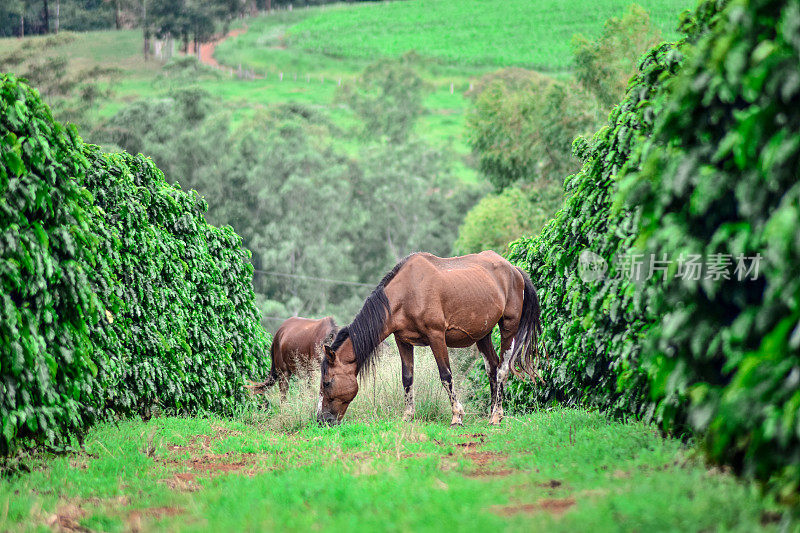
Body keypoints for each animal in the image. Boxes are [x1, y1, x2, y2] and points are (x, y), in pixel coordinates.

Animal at [316, 251, 540, 426]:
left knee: (502, 370)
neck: (407, 292)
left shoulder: (436, 336)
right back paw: (494, 413)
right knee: (492, 369)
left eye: (326, 382)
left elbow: (446, 376)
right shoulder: (403, 341)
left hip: (508, 327)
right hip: (483, 335)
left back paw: (496, 416)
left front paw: (457, 416)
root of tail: (514, 270)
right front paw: (408, 416)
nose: (321, 420)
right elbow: (407, 378)